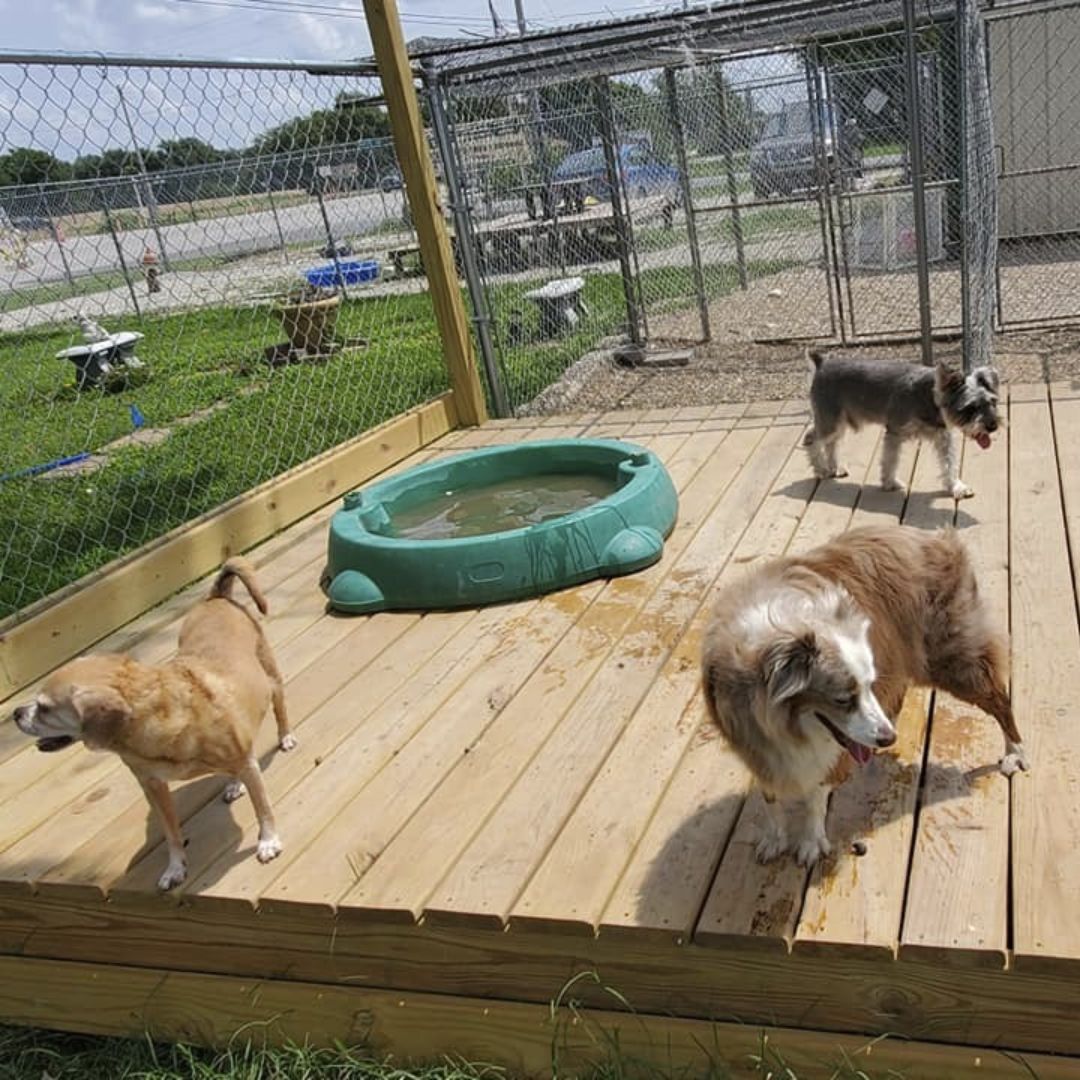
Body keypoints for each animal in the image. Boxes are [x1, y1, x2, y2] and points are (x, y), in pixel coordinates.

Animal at [10, 561, 295, 889]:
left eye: (44, 708)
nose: (16, 713)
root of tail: (216, 596)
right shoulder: (153, 786)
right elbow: (171, 832)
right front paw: (175, 867)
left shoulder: (245, 763)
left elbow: (263, 808)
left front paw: (268, 841)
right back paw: (234, 784)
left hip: (270, 678)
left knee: (278, 709)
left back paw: (285, 738)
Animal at [704, 522, 1023, 868]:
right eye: (842, 699)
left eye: (865, 687)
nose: (888, 738)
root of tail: (937, 537)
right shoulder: (752, 741)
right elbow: (770, 797)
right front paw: (775, 838)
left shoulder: (831, 749)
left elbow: (816, 794)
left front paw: (811, 841)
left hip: (954, 661)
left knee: (1000, 700)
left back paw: (1015, 752)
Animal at [807, 352, 997, 498]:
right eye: (970, 407)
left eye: (992, 402)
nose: (992, 426)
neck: (930, 396)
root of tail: (821, 363)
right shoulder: (895, 432)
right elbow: (891, 459)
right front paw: (890, 482)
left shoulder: (943, 437)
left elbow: (949, 462)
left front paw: (956, 487)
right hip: (830, 421)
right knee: (811, 438)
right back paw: (822, 469)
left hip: (839, 423)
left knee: (831, 443)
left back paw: (835, 467)